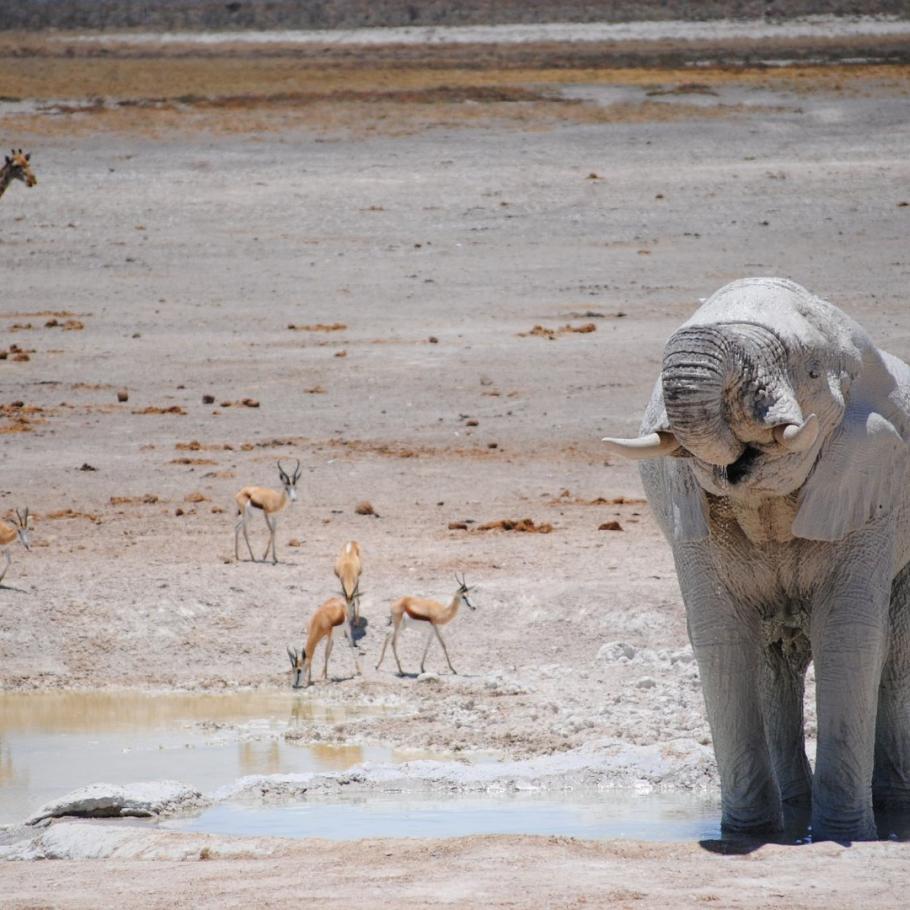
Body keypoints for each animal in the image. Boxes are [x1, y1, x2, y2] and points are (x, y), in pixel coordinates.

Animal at [604, 276, 910, 840]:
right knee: (772, 662)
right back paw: (793, 808)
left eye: (809, 370)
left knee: (895, 652)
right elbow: (721, 636)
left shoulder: (872, 488)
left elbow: (849, 635)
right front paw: (746, 837)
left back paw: (892, 809)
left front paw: (842, 837)